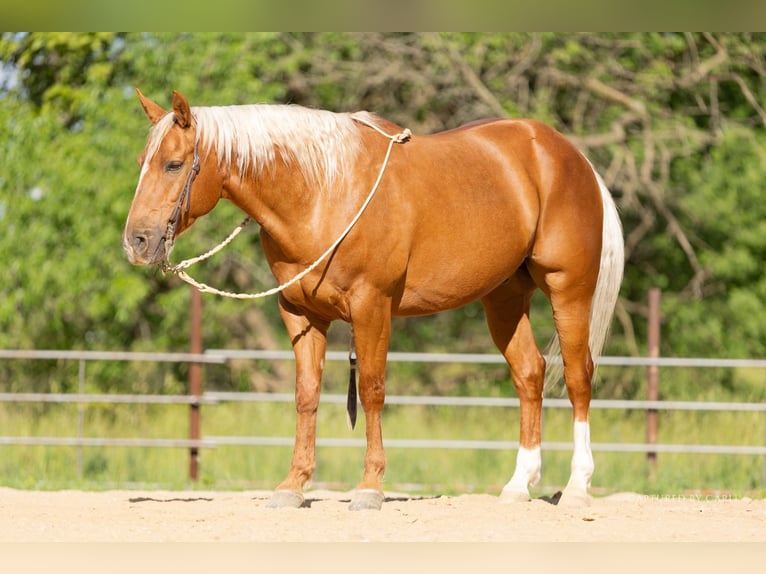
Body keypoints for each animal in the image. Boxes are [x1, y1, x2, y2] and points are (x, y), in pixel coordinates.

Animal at [121, 90, 624, 512]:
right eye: (142, 161)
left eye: (173, 164)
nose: (136, 242)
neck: (322, 192)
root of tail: (570, 155)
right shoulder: (300, 313)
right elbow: (306, 394)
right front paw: (293, 486)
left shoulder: (372, 306)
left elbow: (371, 390)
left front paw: (369, 487)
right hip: (504, 297)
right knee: (530, 374)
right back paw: (519, 486)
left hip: (568, 290)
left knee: (577, 377)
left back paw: (577, 487)